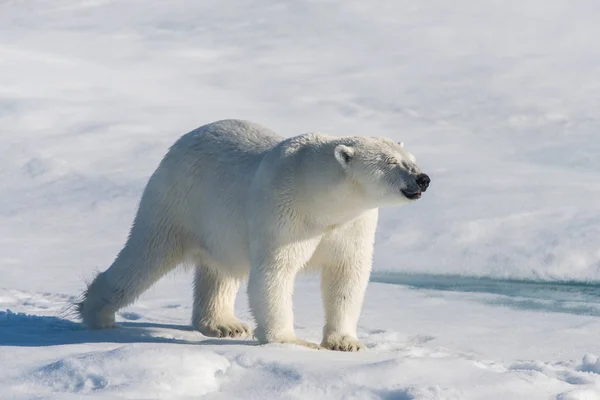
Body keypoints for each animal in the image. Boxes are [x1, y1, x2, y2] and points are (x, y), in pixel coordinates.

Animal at [77, 119, 428, 350]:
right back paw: (97, 314)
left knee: (220, 271)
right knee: (144, 256)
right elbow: (275, 274)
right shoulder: (284, 214)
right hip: (177, 202)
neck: (320, 199)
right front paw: (290, 341)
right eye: (392, 162)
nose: (422, 179)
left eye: (412, 160)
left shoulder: (352, 225)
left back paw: (224, 324)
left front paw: (346, 343)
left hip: (219, 228)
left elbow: (346, 275)